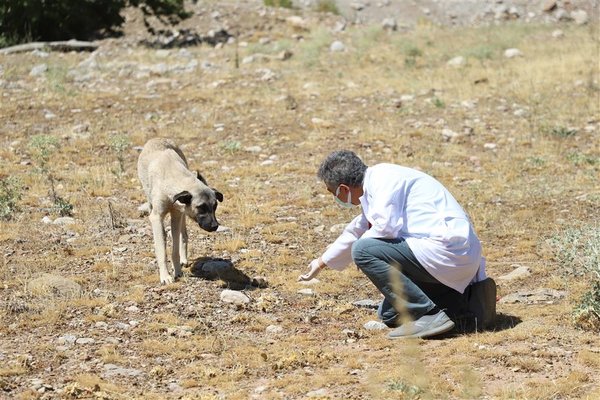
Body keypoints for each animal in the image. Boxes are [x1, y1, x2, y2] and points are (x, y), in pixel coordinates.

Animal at [138, 138, 223, 284]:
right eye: (201, 207)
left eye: (215, 206)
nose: (215, 226)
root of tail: (157, 138)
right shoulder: (156, 217)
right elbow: (162, 251)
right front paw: (165, 276)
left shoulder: (177, 215)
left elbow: (175, 249)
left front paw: (177, 270)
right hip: (150, 202)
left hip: (182, 214)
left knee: (183, 236)